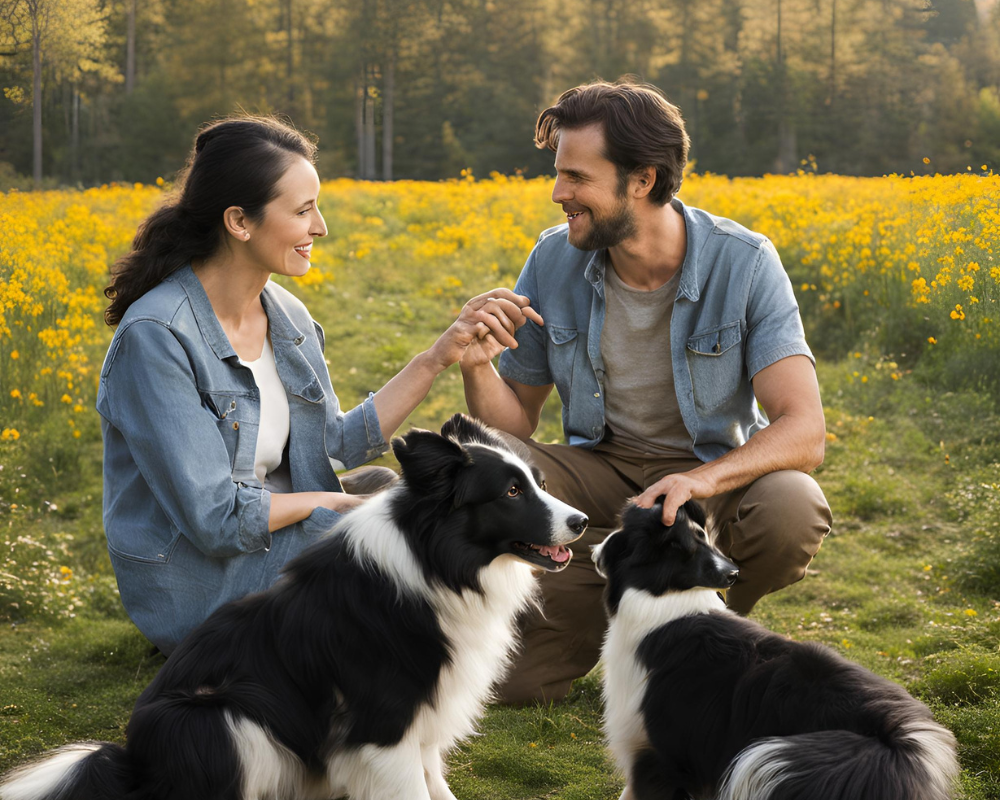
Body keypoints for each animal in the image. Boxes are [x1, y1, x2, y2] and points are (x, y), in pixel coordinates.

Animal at [1, 416, 584, 800]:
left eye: (540, 483)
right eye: (511, 492)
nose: (580, 522)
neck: (437, 563)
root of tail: (131, 764)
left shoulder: (425, 716)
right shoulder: (383, 724)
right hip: (228, 721)